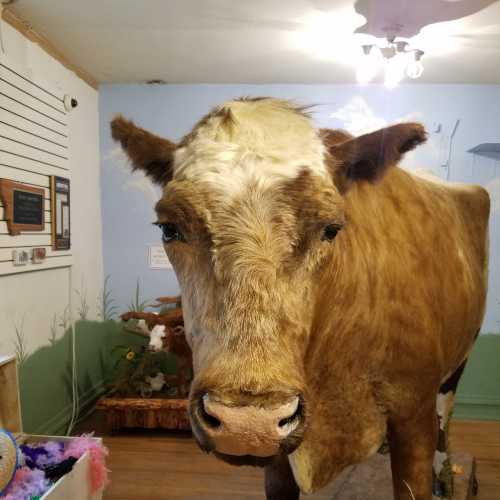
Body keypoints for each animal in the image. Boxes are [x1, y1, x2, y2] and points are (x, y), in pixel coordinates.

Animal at [111, 98, 490, 500]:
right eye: (169, 229)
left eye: (332, 229)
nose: (247, 424)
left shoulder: (413, 415)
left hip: (459, 361)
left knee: (446, 420)